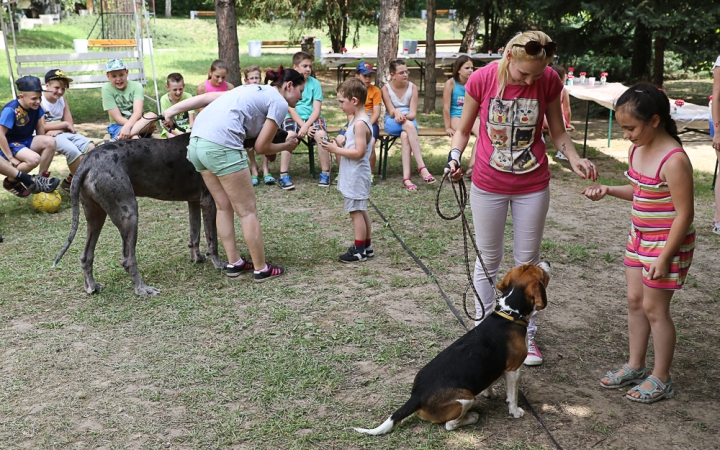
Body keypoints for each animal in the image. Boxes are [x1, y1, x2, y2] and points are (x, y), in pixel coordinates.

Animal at [354, 262, 552, 434]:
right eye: (539, 270)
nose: (548, 262)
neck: (510, 313)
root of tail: (416, 396)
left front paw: (489, 393)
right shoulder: (513, 370)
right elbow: (513, 396)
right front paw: (516, 411)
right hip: (465, 399)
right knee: (450, 425)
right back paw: (472, 417)